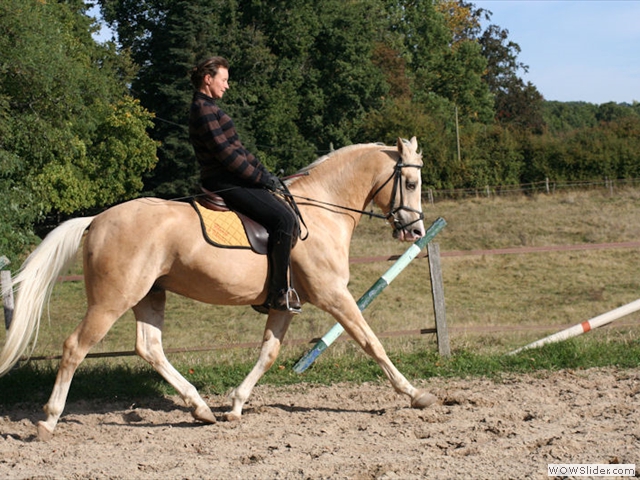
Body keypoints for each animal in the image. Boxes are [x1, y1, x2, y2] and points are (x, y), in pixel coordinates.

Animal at [0, 136, 438, 438]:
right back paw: (49, 421)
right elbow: (371, 342)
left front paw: (235, 406)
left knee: (149, 347)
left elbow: (268, 354)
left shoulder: (283, 304)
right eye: (410, 182)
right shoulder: (334, 296)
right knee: (76, 347)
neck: (320, 210)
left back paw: (200, 408)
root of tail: (95, 220)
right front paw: (416, 394)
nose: (415, 231)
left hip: (149, 295)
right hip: (112, 300)